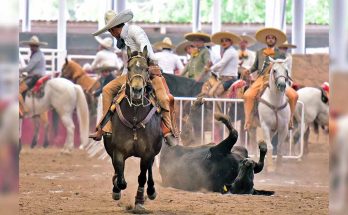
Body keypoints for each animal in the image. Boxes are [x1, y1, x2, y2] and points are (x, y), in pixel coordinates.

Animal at [104, 45, 162, 212]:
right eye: (129, 68)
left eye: (146, 68)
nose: (137, 90)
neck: (135, 118)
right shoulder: (118, 151)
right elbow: (121, 177)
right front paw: (116, 189)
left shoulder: (147, 153)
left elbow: (142, 176)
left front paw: (139, 202)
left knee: (149, 170)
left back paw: (151, 191)